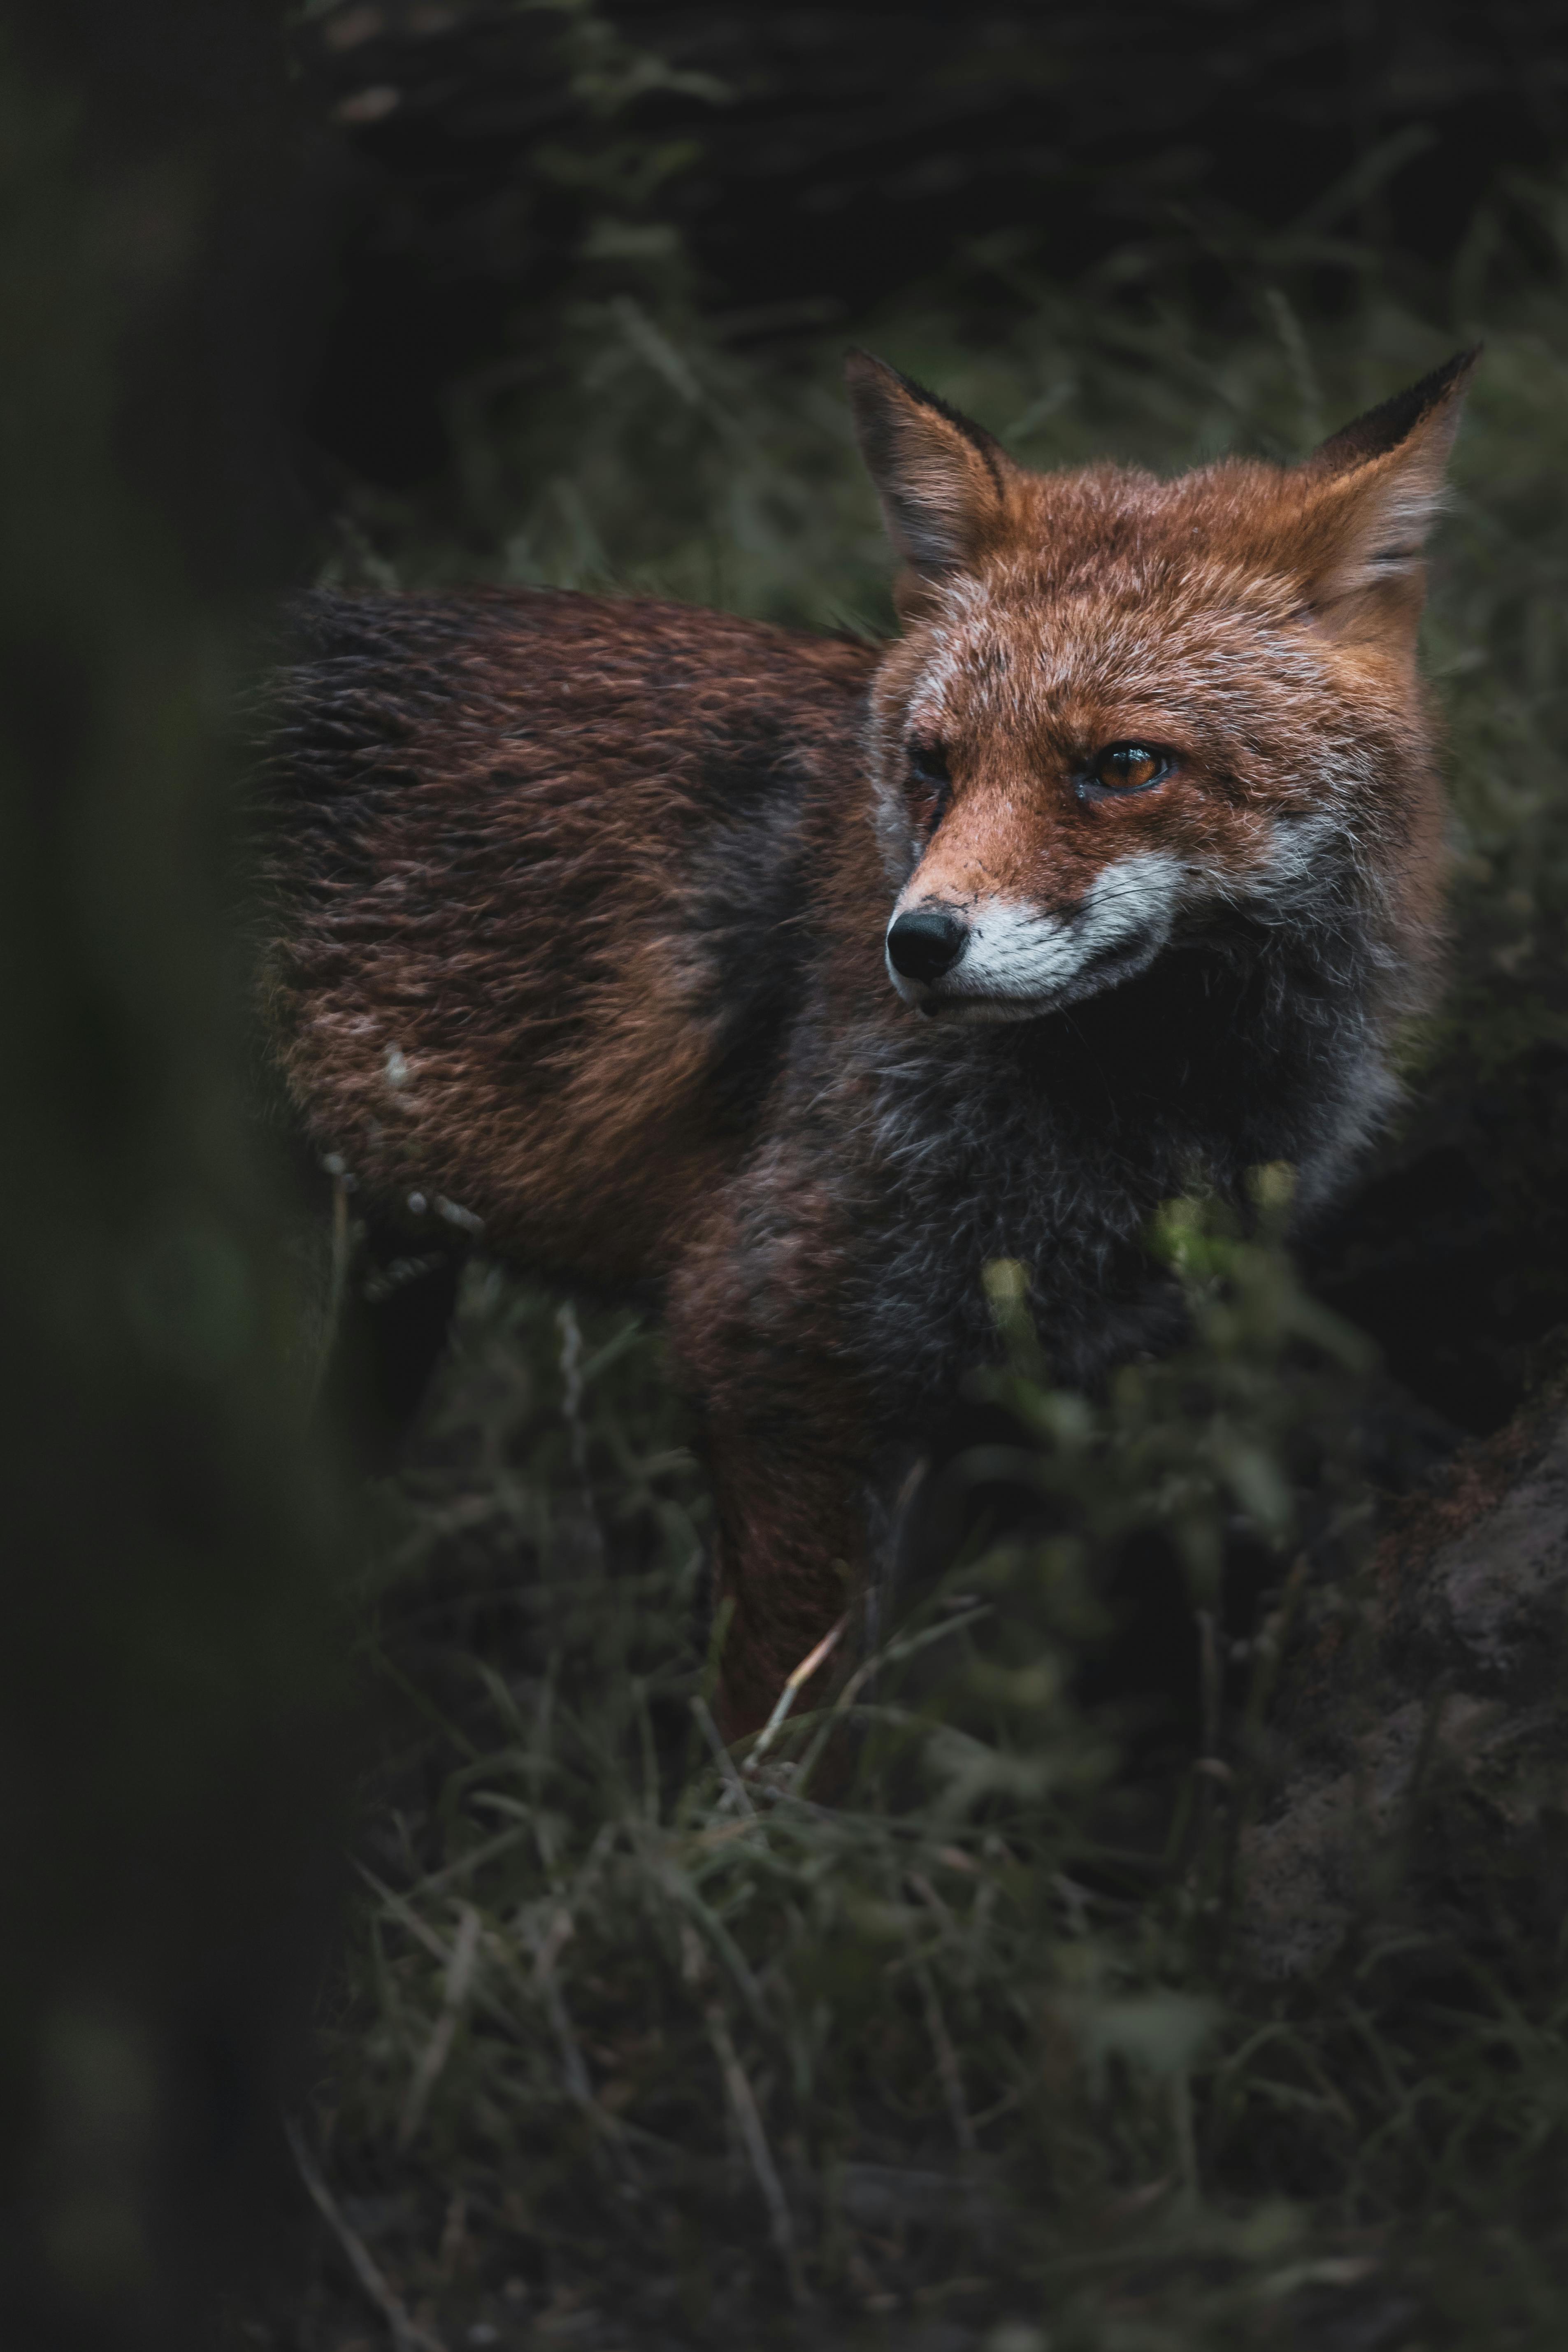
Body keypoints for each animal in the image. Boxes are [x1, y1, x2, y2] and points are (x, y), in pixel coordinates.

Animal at [260, 347, 1475, 1743]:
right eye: (931, 765)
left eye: (1124, 766)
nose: (919, 944)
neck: (1154, 1101)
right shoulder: (772, 1350)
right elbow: (788, 1732)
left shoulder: (969, 1392)